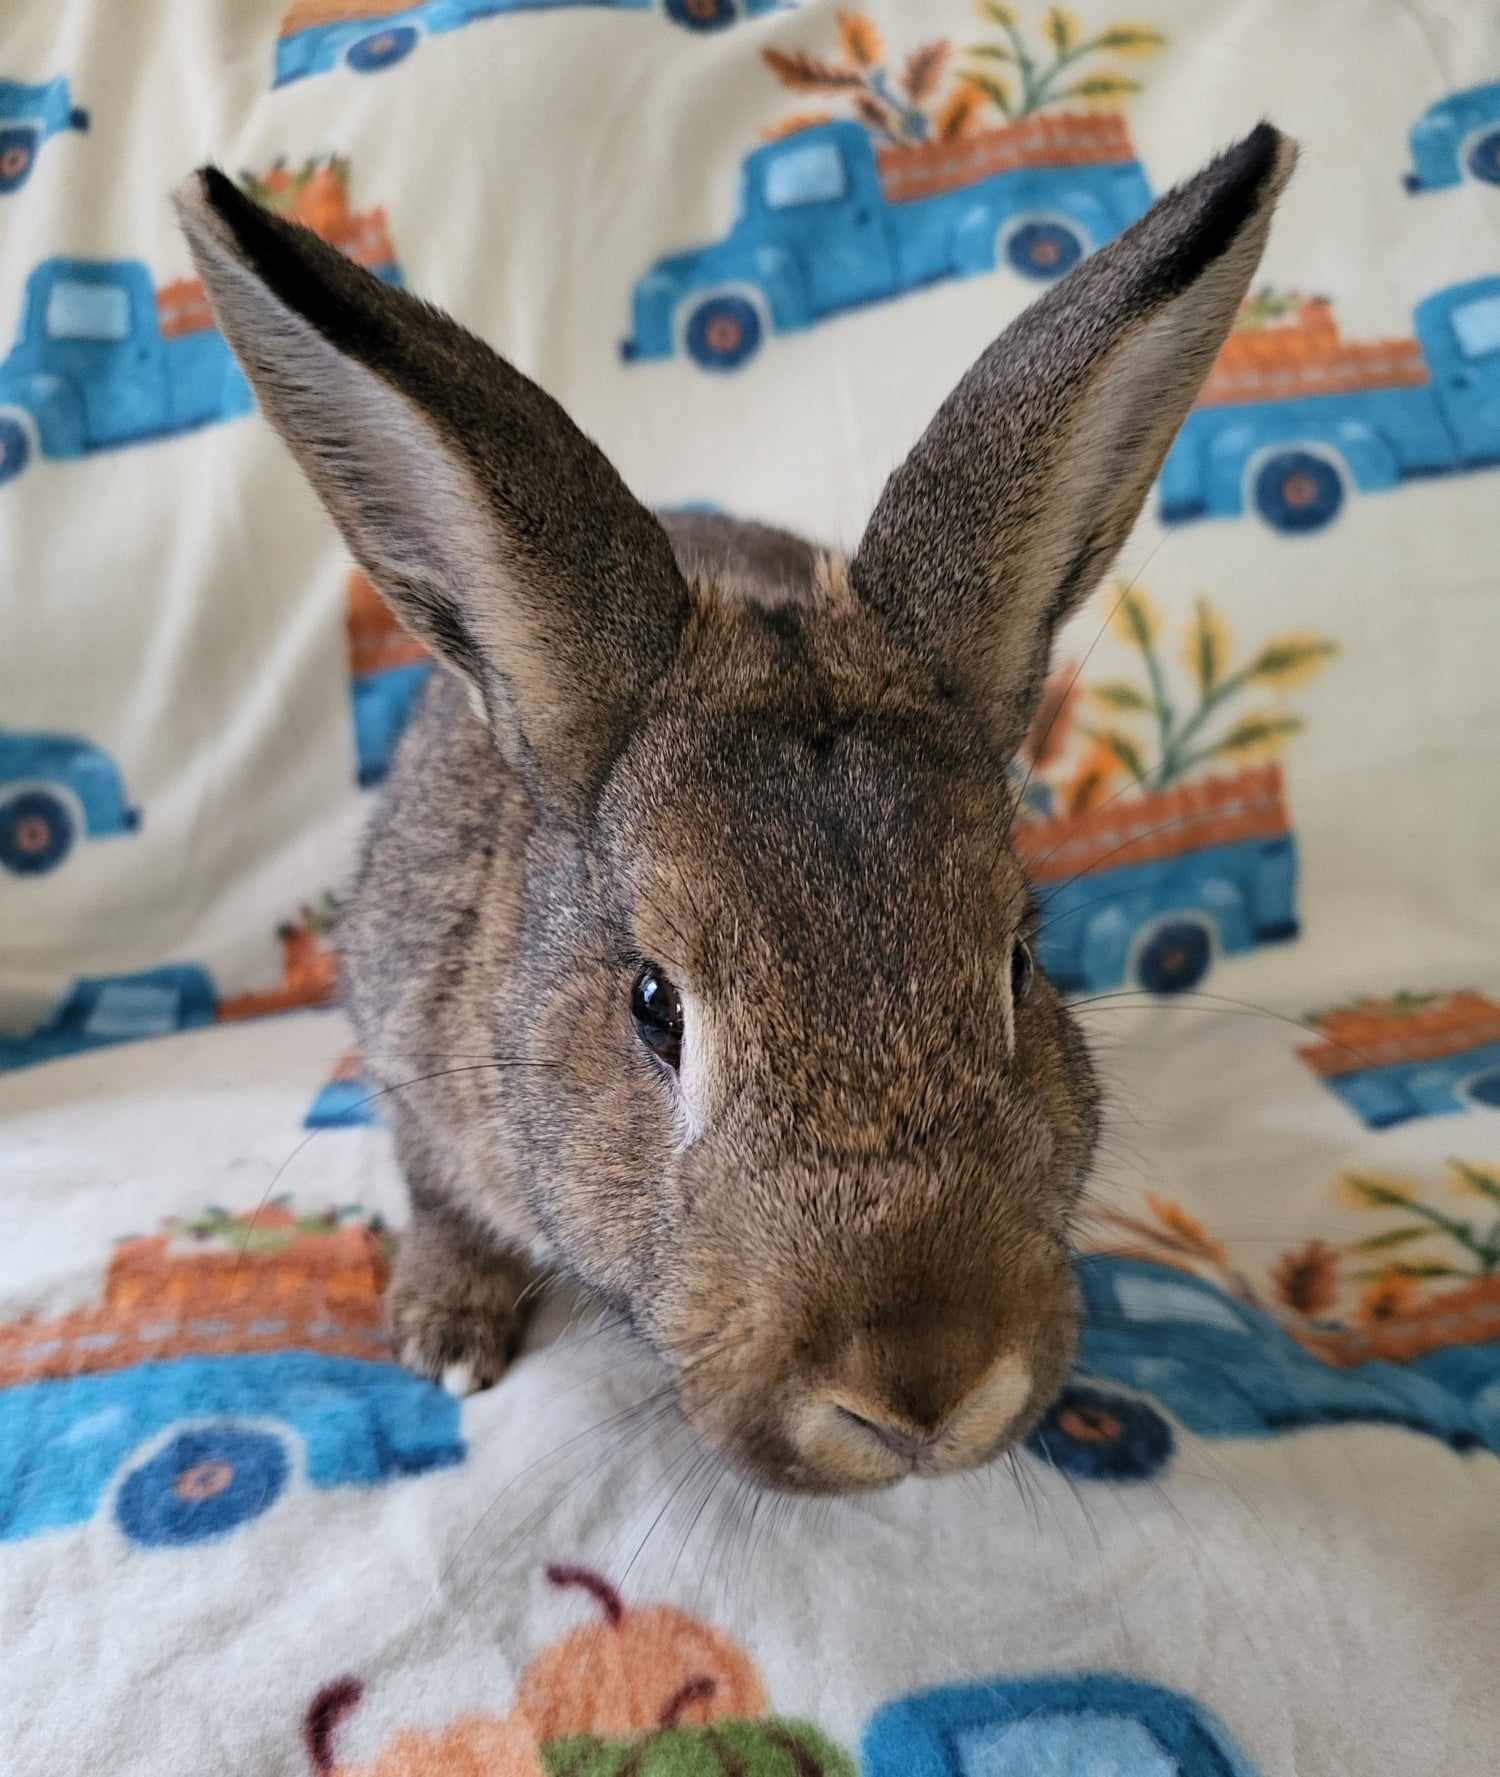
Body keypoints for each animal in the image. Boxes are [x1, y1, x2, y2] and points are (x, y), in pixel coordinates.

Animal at [175, 118, 1293, 1492]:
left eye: (1018, 967)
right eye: (655, 1006)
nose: (920, 1393)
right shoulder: (413, 1067)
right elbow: (439, 1197)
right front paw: (446, 1331)